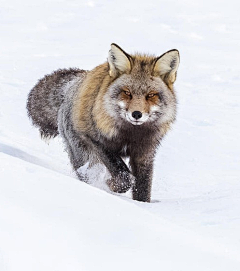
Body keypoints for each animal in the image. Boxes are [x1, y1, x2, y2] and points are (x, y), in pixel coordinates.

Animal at [26, 43, 180, 203]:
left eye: (151, 95)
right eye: (127, 92)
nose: (137, 114)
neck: (130, 135)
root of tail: (75, 83)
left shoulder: (145, 154)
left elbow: (142, 189)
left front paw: (142, 205)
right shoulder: (97, 140)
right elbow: (124, 177)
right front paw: (112, 185)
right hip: (83, 153)